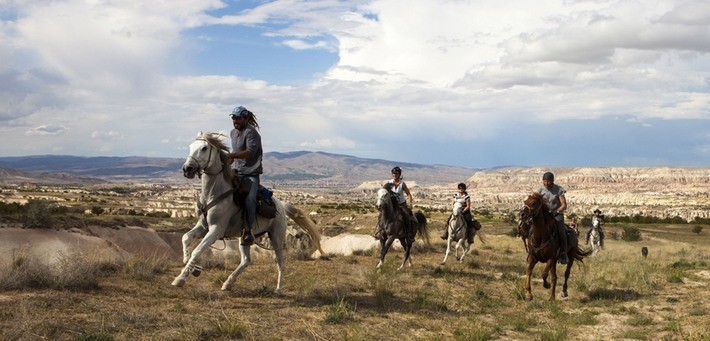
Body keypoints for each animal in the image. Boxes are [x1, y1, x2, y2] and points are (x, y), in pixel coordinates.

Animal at [174, 131, 324, 290]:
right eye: (190, 146)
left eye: (204, 148)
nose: (187, 169)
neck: (212, 193)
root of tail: (281, 205)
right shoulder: (203, 226)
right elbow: (185, 238)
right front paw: (191, 266)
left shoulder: (216, 230)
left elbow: (197, 250)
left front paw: (180, 278)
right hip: (244, 237)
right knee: (246, 260)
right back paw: (228, 283)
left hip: (276, 237)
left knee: (280, 263)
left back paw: (278, 288)